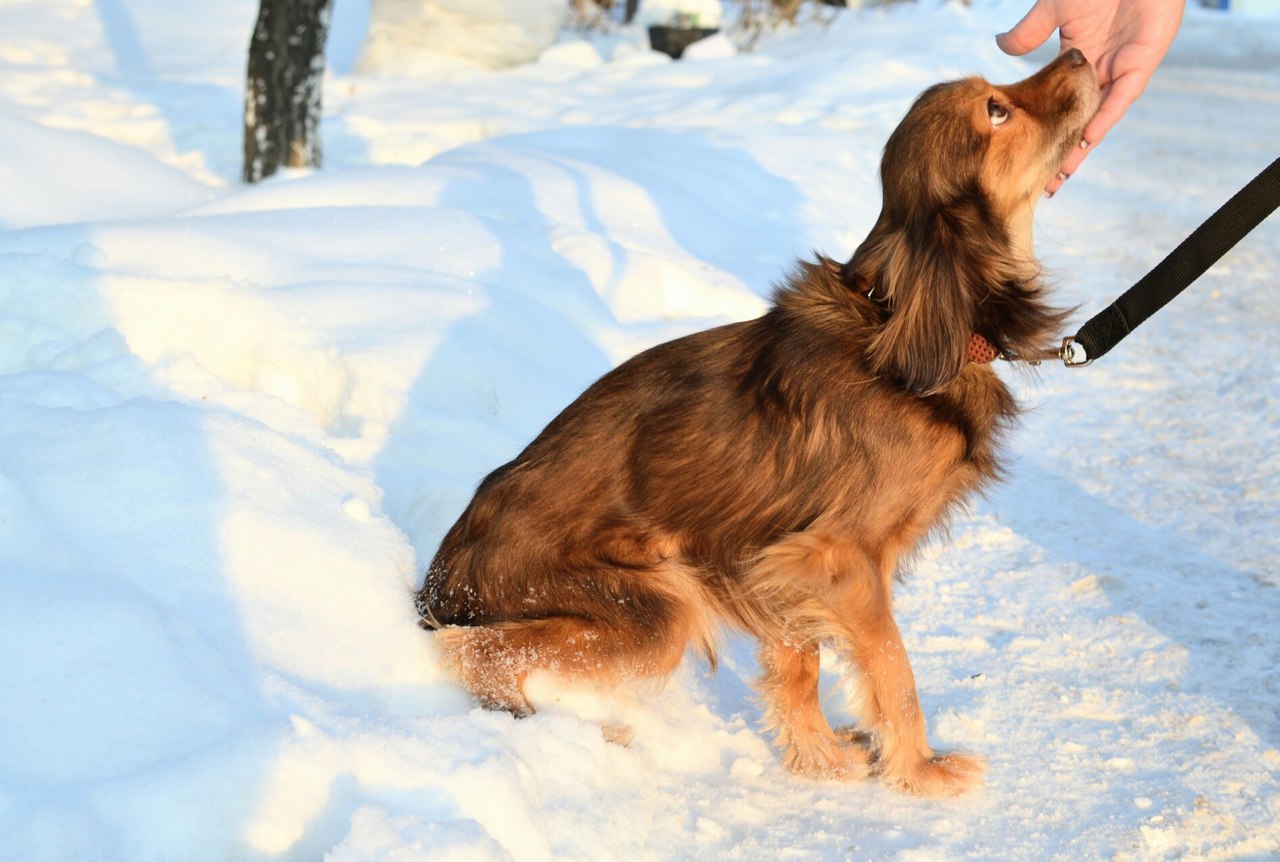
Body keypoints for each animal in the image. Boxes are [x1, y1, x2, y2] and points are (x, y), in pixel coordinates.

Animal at [414, 50, 1095, 799]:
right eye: (996, 109)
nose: (1080, 53)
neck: (901, 320)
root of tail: (440, 581)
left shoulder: (780, 559)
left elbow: (799, 667)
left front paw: (820, 759)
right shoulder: (842, 557)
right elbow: (893, 669)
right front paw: (920, 770)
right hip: (655, 605)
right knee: (467, 652)